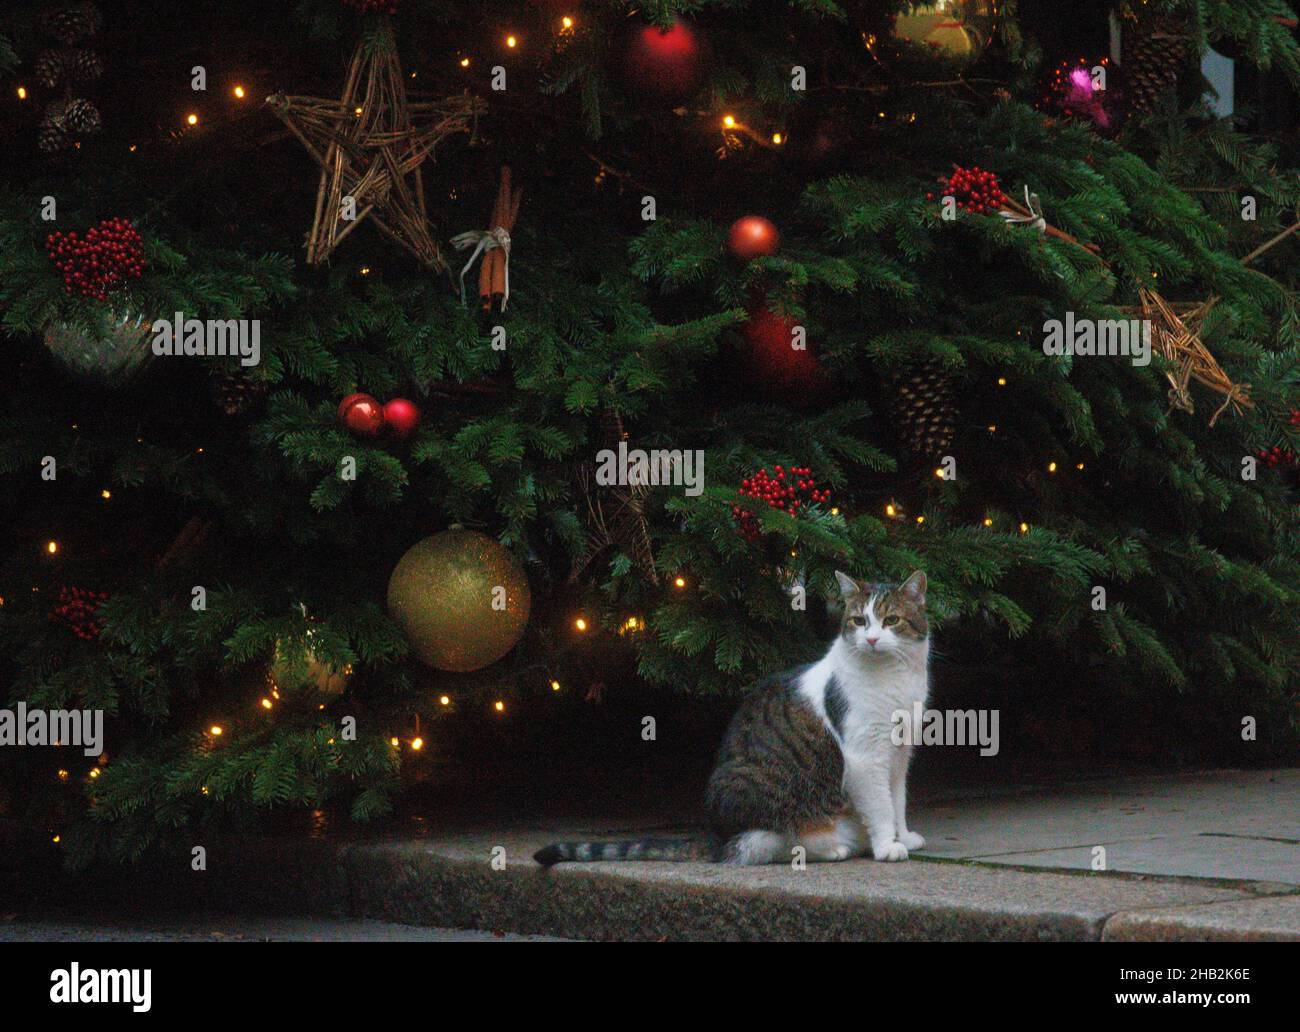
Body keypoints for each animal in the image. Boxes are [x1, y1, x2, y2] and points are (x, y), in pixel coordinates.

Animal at [533, 566, 930, 863]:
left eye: (892, 620)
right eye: (859, 621)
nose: (872, 640)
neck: (893, 679)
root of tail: (715, 836)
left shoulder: (899, 756)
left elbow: (897, 800)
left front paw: (904, 836)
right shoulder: (865, 757)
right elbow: (880, 806)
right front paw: (887, 846)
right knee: (762, 843)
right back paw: (832, 846)